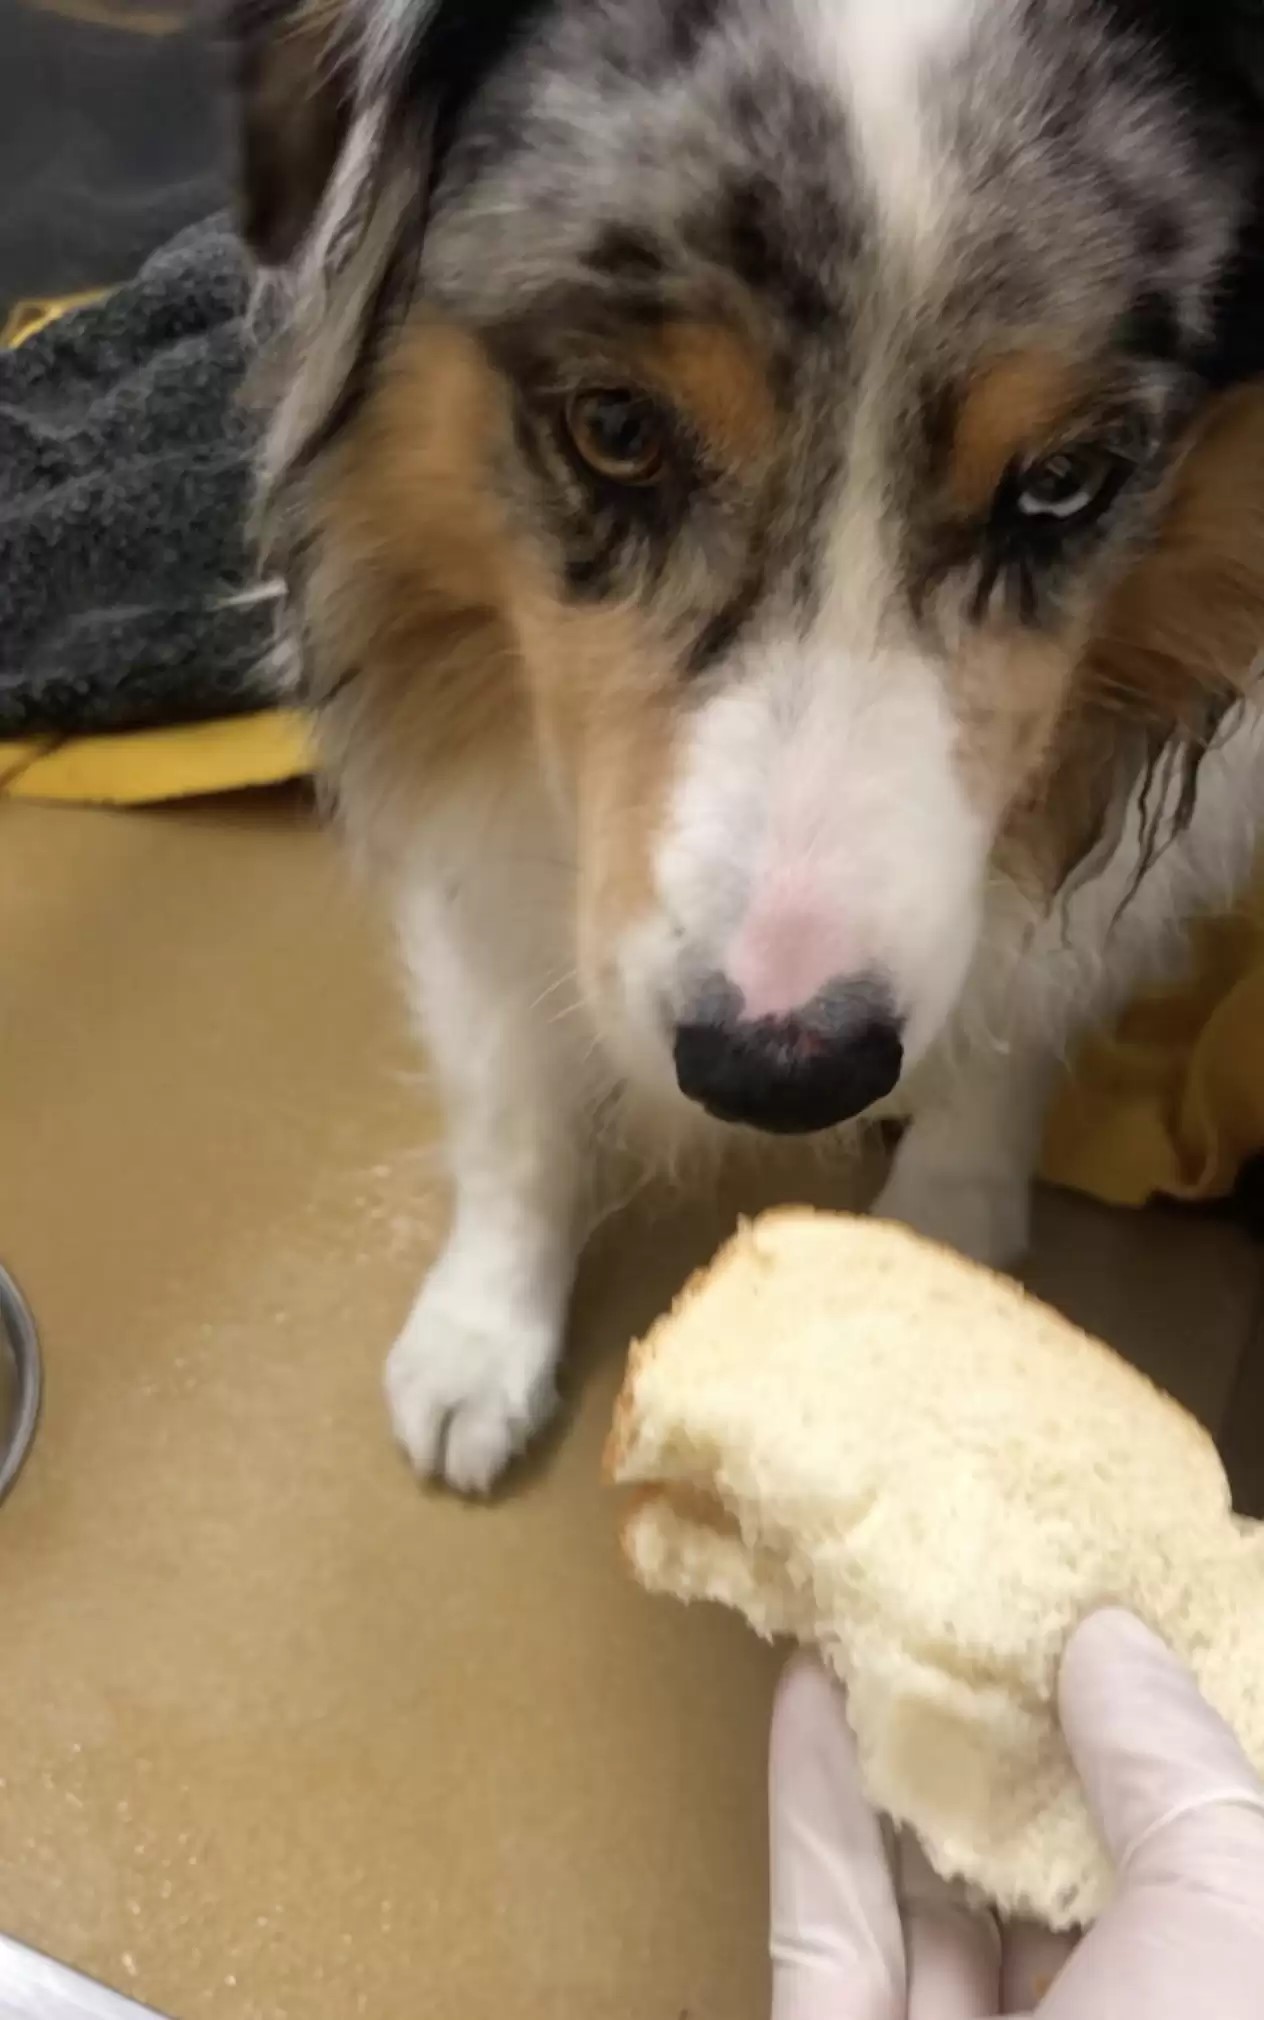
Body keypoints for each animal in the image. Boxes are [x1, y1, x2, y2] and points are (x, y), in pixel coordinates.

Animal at [226, 0, 1259, 1486]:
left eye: (1065, 482)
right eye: (616, 430)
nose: (782, 1072)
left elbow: (1014, 1027)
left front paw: (943, 1255)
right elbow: (508, 1086)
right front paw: (483, 1336)